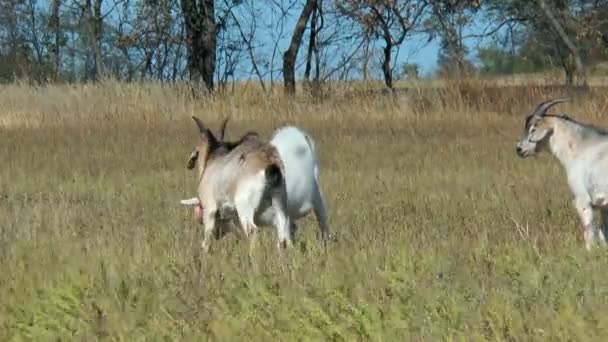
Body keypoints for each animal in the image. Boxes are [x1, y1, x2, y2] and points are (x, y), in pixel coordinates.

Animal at [184, 116, 290, 252]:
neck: (214, 159)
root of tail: (269, 162)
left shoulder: (210, 209)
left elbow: (206, 239)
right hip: (279, 201)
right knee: (282, 233)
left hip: (245, 207)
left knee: (252, 231)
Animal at [516, 97, 608, 250]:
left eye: (533, 129)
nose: (519, 149)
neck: (582, 147)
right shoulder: (603, 206)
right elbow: (603, 232)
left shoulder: (582, 200)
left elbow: (589, 231)